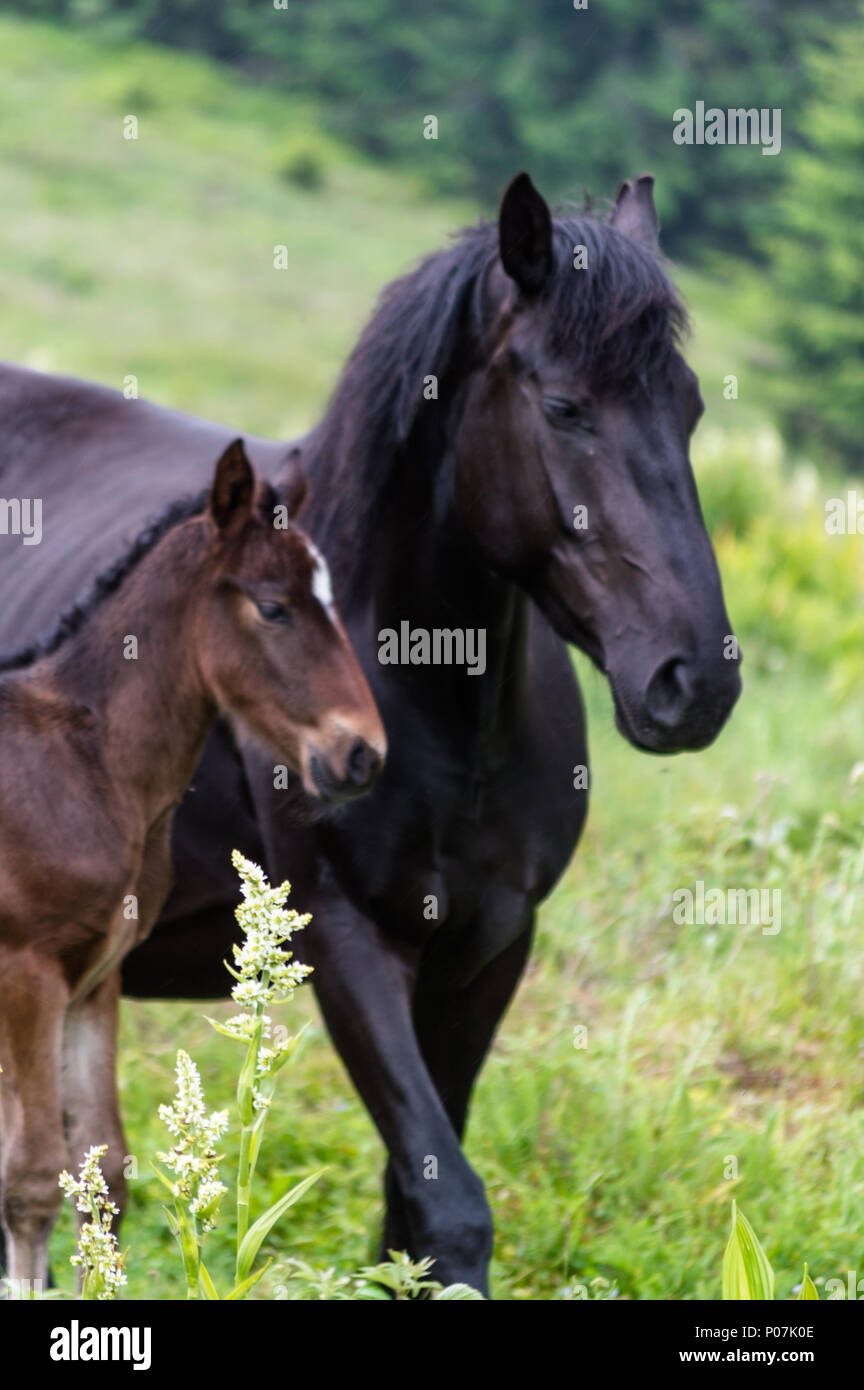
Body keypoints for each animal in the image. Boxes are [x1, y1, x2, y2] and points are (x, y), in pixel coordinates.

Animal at [0, 442, 386, 1278]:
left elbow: (103, 1165)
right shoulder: (27, 974)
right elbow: (31, 1180)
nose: (362, 754)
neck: (90, 764)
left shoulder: (95, 981)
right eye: (273, 607)